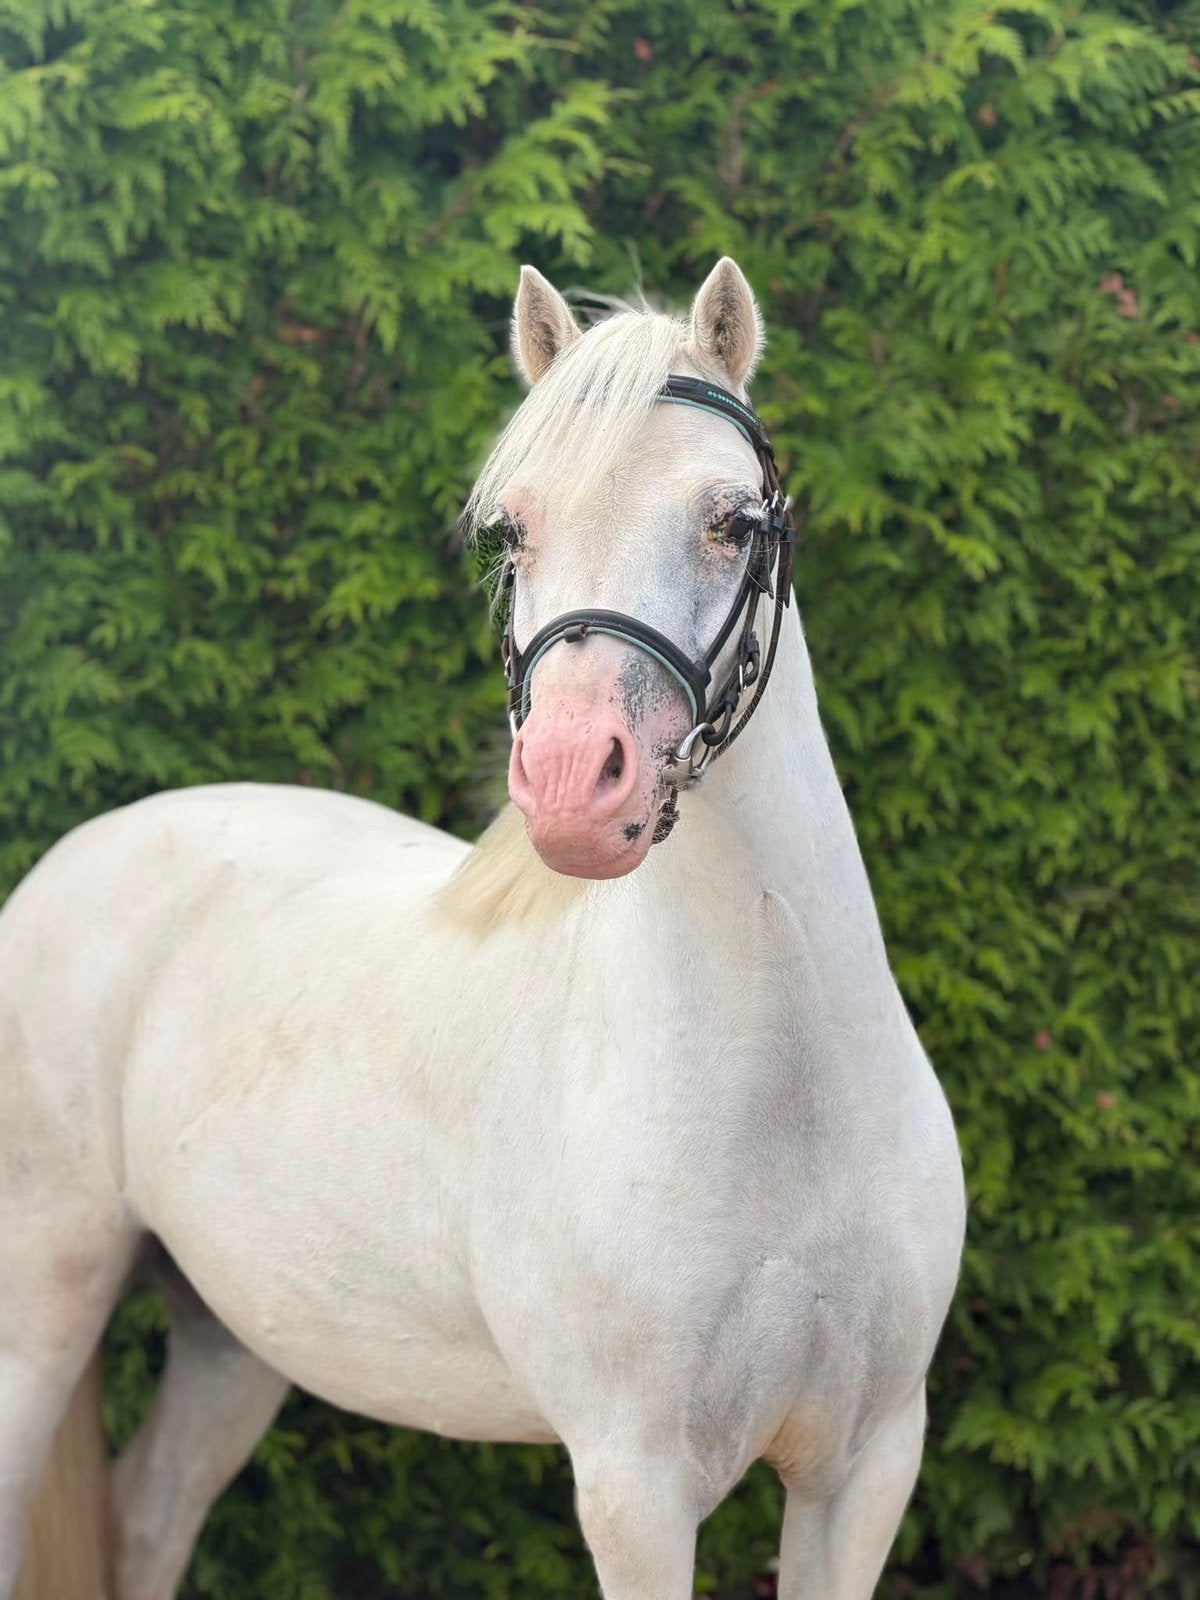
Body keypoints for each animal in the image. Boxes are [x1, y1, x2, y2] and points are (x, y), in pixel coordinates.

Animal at [2, 257, 965, 1600]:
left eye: (732, 520)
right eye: (512, 531)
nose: (569, 785)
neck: (788, 1106)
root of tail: (83, 853)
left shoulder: (864, 1469)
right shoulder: (635, 1487)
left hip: (232, 1334)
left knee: (148, 1516)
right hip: (40, 1302)